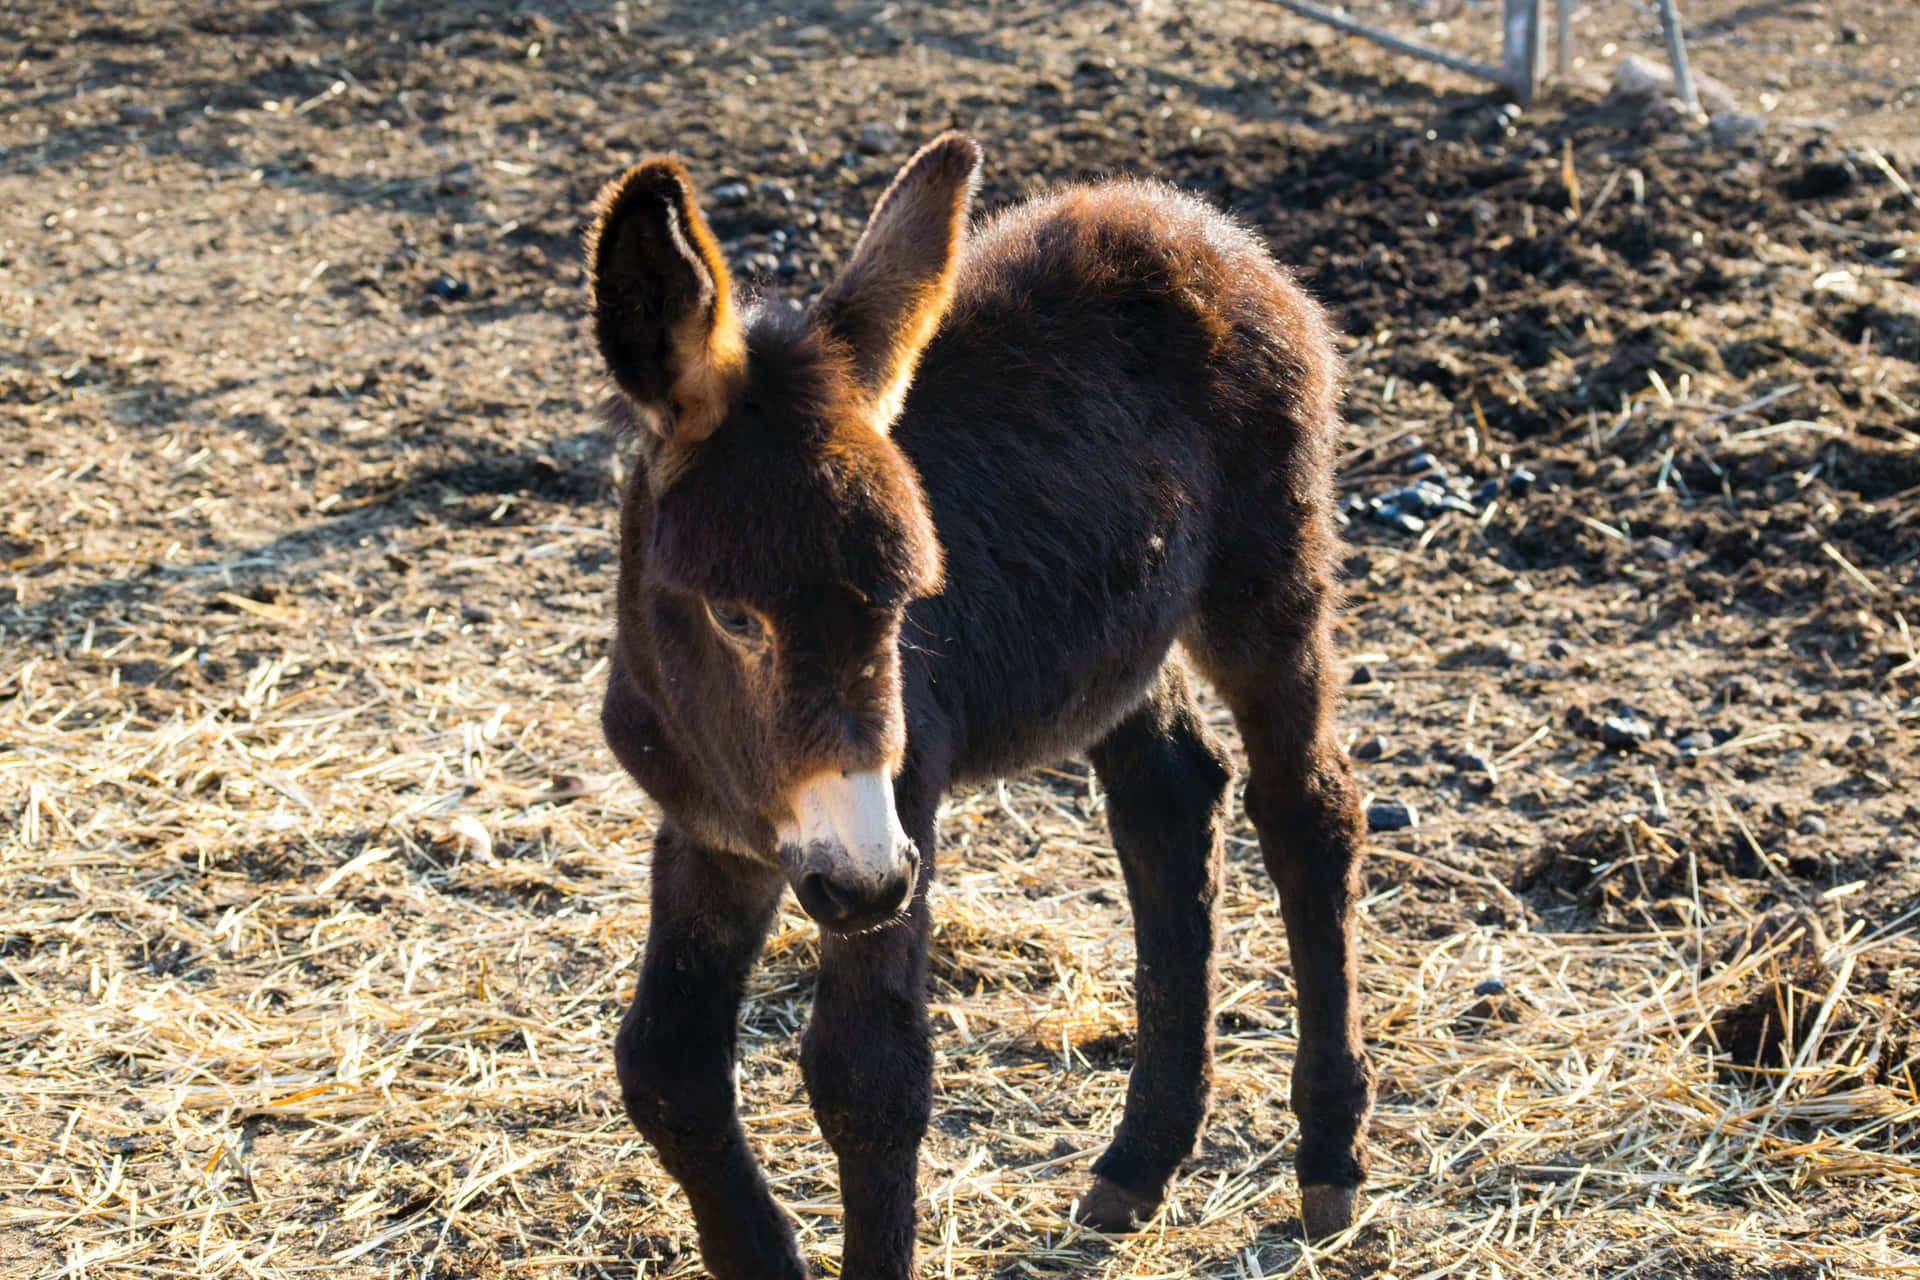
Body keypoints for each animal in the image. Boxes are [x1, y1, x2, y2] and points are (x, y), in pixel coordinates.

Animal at [591, 132, 1374, 1280]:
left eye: (907, 602)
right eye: (734, 615)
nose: (866, 883)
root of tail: (1190, 220)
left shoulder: (897, 798)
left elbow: (867, 1079)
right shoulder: (710, 829)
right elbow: (664, 1065)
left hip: (1265, 575)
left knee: (1308, 810)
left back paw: (1328, 1160)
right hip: (1120, 637)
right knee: (1171, 804)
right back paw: (1140, 1160)